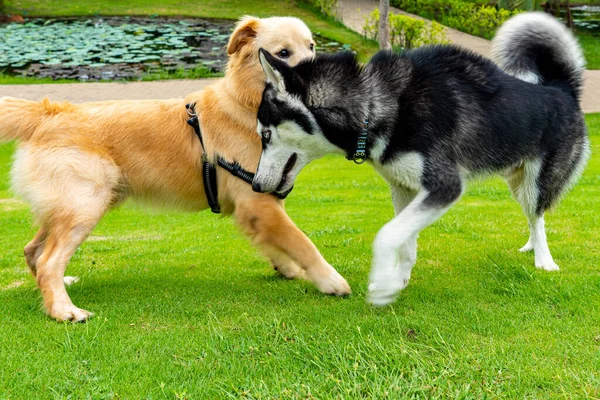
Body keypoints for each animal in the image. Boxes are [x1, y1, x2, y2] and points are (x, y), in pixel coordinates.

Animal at [0, 16, 352, 322]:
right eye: (283, 53)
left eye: (311, 47)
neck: (246, 104)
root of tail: (52, 111)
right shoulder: (257, 202)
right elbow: (302, 242)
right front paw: (330, 281)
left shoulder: (260, 203)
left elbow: (279, 243)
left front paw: (288, 269)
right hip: (85, 205)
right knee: (48, 261)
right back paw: (64, 311)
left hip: (73, 205)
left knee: (33, 251)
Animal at [251, 13, 588, 306]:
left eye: (264, 135)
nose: (254, 186)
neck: (374, 105)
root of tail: (561, 89)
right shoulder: (405, 188)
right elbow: (405, 240)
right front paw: (397, 280)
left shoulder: (445, 185)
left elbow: (387, 234)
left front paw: (383, 288)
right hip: (516, 182)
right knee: (532, 218)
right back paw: (531, 246)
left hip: (536, 183)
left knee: (538, 216)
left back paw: (543, 259)